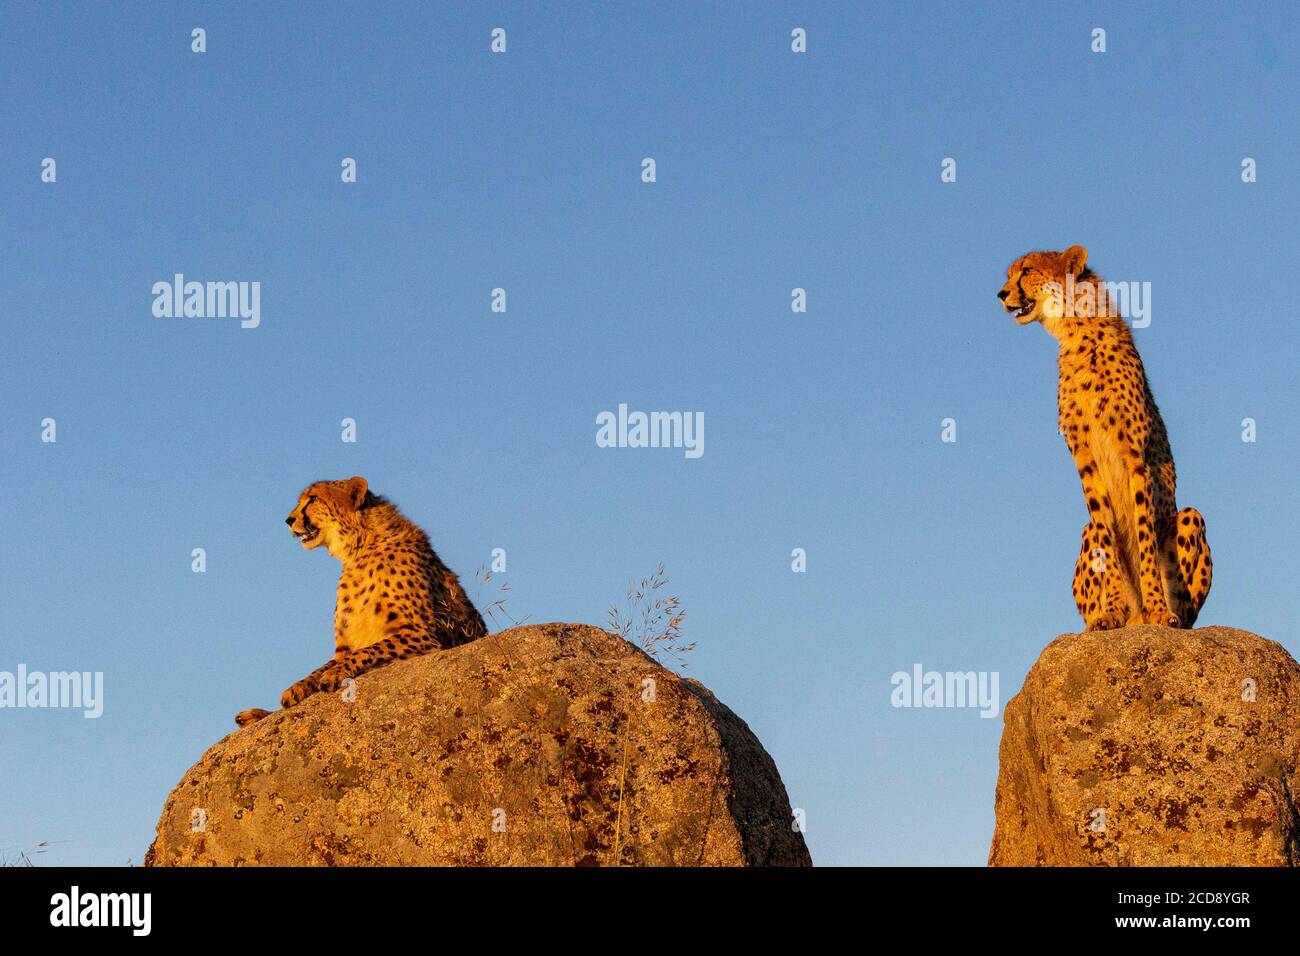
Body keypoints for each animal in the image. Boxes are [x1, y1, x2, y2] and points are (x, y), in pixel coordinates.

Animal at [235, 476, 488, 728]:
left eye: (313, 499)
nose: (288, 520)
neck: (358, 551)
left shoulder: (422, 636)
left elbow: (371, 650)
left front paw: (335, 674)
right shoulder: (343, 648)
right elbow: (321, 666)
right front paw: (298, 686)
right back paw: (252, 714)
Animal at [998, 251, 1211, 632]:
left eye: (1026, 271)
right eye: (1010, 274)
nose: (1001, 293)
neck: (1076, 333)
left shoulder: (1135, 456)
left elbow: (1143, 536)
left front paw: (1157, 608)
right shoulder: (1084, 460)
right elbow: (1105, 536)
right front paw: (1110, 610)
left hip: (1189, 517)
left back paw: (1163, 615)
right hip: (1084, 533)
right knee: (1091, 532)